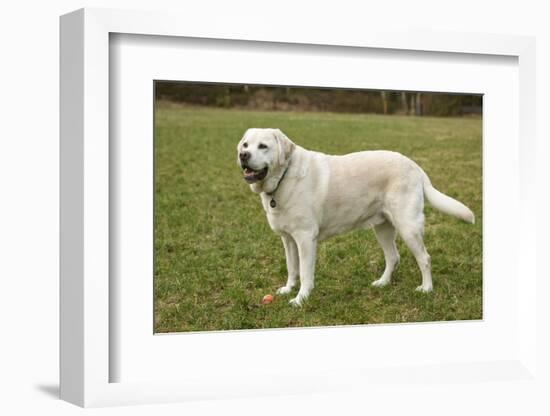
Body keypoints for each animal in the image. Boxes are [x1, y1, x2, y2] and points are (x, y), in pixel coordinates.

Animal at [239, 127, 476, 306]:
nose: (243, 155)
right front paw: (288, 289)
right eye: (245, 145)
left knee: (425, 258)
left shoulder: (306, 238)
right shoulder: (288, 239)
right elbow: (292, 268)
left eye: (263, 146)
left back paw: (426, 288)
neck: (283, 177)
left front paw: (301, 299)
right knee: (393, 257)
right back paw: (382, 283)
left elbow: (305, 273)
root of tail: (415, 166)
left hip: (408, 226)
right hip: (383, 228)